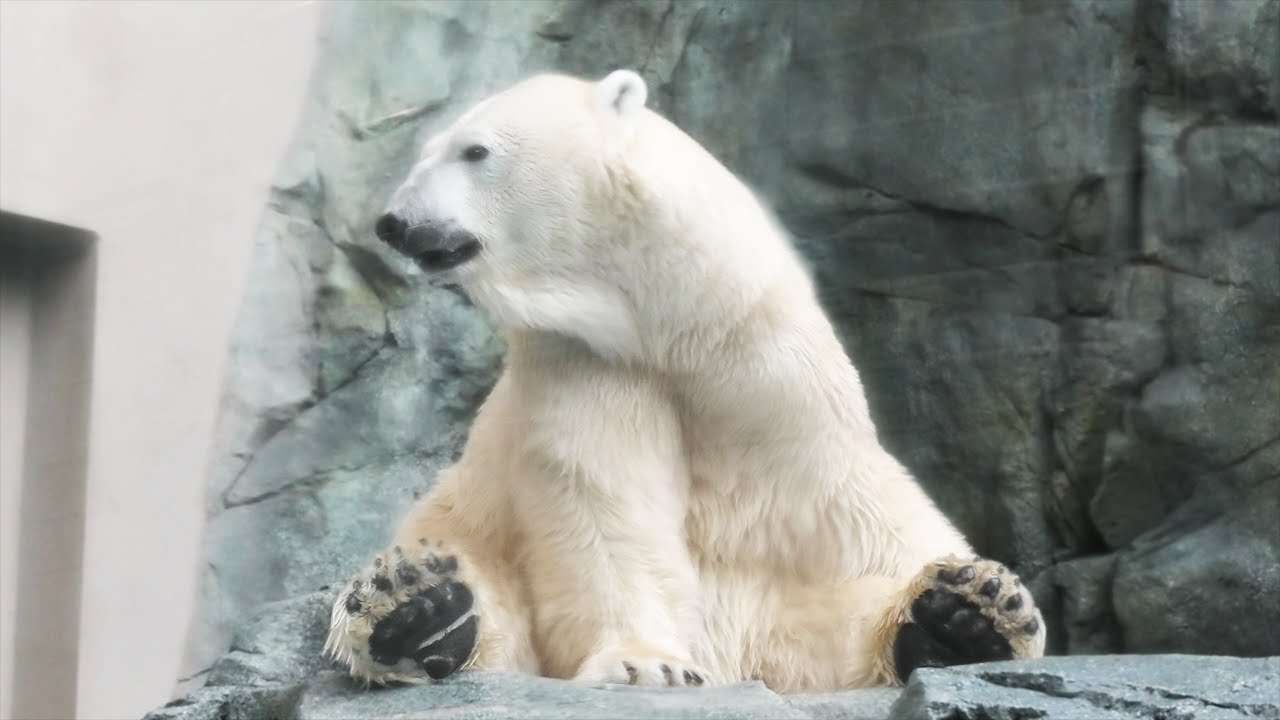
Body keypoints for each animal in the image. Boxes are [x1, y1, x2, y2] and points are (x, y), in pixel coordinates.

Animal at [324, 69, 1045, 693]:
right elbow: (602, 507)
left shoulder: (784, 390)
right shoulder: (586, 364)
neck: (673, 327)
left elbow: (871, 536)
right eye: (429, 150)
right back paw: (415, 610)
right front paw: (647, 663)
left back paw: (963, 618)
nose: (395, 222)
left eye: (475, 150)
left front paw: (981, 601)